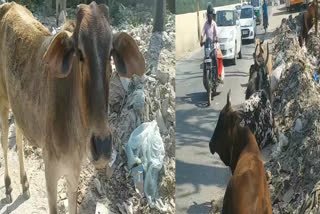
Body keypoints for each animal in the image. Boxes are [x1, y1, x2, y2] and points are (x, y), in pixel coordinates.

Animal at [0, 1, 144, 212]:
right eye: (80, 52)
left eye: (110, 52)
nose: (102, 146)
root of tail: (10, 6)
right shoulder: (50, 172)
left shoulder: (73, 173)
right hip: (3, 99)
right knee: (4, 139)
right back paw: (9, 185)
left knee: (17, 131)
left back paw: (24, 183)